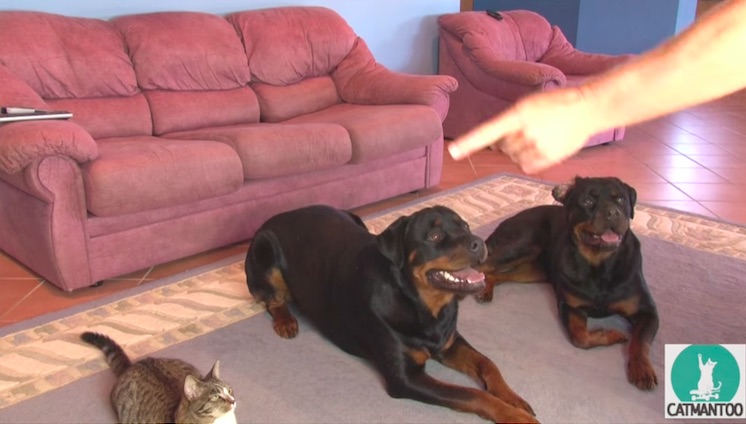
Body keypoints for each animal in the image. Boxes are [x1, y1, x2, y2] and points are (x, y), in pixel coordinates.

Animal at [245, 204, 537, 423]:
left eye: (464, 226)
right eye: (434, 237)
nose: (478, 242)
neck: (423, 305)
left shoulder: (449, 343)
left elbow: (488, 364)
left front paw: (514, 399)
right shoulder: (406, 379)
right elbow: (471, 394)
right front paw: (515, 416)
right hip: (264, 251)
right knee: (271, 298)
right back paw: (285, 320)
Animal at [476, 176, 659, 391]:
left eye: (621, 200)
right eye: (588, 201)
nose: (612, 212)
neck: (600, 265)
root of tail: (508, 220)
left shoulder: (646, 311)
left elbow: (641, 342)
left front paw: (642, 369)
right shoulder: (570, 306)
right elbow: (579, 336)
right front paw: (614, 335)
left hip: (534, 270)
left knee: (497, 274)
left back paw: (486, 289)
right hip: (519, 246)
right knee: (483, 266)